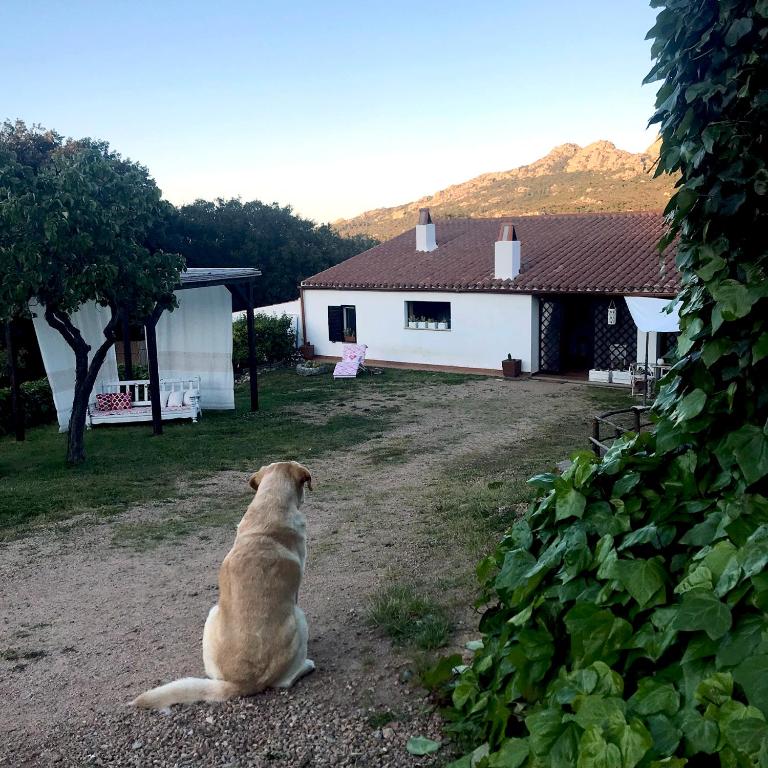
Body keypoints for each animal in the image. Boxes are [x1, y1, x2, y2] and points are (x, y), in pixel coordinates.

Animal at [132, 462, 316, 708]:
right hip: (298, 616)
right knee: (284, 681)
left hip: (212, 615)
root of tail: (241, 684)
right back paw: (306, 665)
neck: (269, 507)